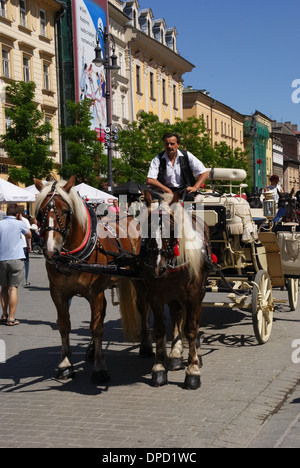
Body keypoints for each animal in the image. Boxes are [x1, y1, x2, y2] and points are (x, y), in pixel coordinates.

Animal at [34, 176, 142, 384]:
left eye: (66, 211)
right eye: (40, 212)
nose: (51, 251)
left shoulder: (95, 293)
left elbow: (96, 327)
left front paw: (100, 368)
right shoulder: (58, 293)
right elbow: (64, 325)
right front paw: (65, 364)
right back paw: (92, 350)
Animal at [119, 192, 211, 390]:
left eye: (171, 228)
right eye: (146, 228)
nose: (157, 268)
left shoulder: (193, 296)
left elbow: (191, 328)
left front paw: (192, 371)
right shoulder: (156, 297)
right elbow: (160, 329)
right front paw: (160, 368)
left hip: (199, 293)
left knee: (194, 321)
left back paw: (196, 354)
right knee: (177, 317)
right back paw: (175, 355)